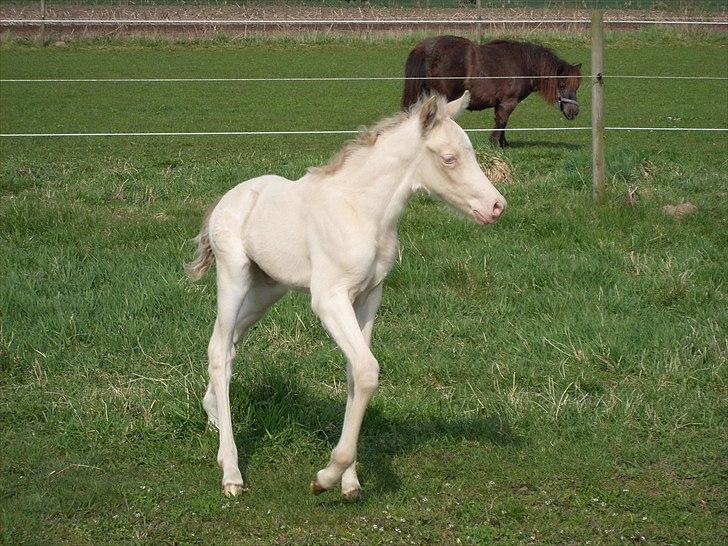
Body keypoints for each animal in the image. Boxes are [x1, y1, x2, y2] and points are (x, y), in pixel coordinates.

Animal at [188, 92, 506, 498]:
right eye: (449, 158)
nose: (496, 206)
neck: (361, 211)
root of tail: (227, 199)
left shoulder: (369, 296)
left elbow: (356, 372)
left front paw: (350, 481)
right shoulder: (329, 298)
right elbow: (367, 370)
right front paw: (326, 476)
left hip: (266, 290)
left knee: (226, 346)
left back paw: (212, 413)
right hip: (234, 276)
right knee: (218, 349)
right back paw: (231, 471)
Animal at [400, 35, 584, 147]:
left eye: (576, 86)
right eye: (561, 84)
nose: (573, 112)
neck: (523, 64)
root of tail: (424, 48)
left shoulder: (500, 103)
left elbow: (501, 122)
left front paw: (503, 143)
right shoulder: (509, 102)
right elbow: (502, 121)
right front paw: (495, 143)